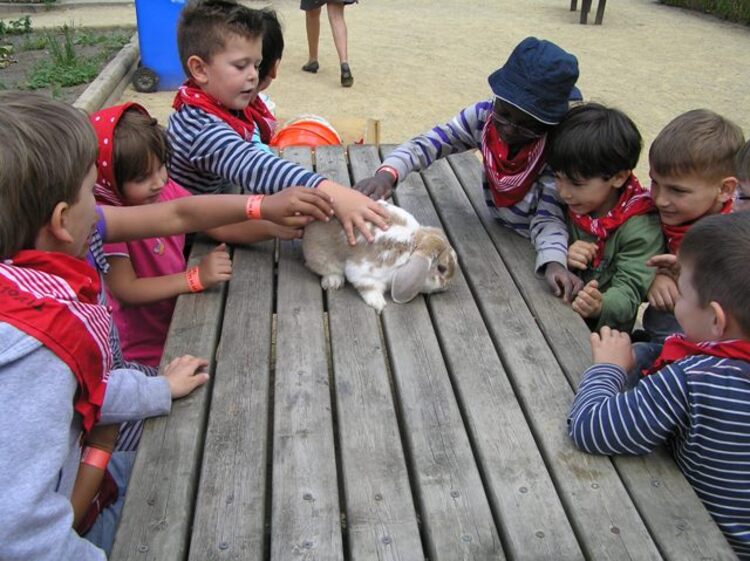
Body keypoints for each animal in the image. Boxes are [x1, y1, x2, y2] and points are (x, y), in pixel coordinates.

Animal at [304, 199, 458, 310]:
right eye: (441, 268)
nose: (447, 286)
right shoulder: (364, 273)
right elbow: (368, 288)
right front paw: (379, 303)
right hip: (322, 259)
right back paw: (333, 281)